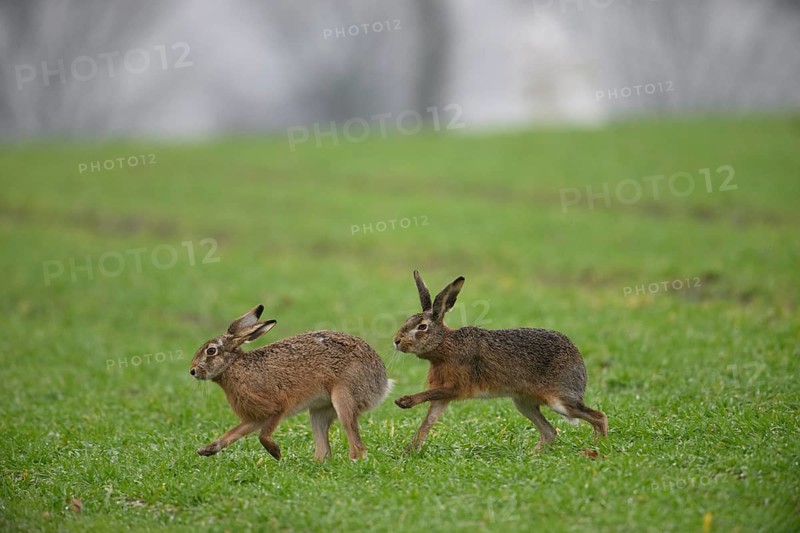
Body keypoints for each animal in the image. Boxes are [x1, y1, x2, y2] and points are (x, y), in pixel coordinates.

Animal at [190, 304, 391, 461]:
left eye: (211, 351)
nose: (192, 371)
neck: (234, 367)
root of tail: (381, 381)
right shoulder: (255, 417)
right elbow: (232, 434)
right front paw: (205, 450)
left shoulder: (277, 407)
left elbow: (263, 435)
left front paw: (276, 453)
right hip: (319, 412)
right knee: (324, 449)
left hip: (344, 398)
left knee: (357, 443)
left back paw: (353, 460)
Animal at [392, 271, 607, 452]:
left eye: (422, 327)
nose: (396, 341)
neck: (445, 345)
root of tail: (578, 357)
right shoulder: (443, 395)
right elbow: (428, 421)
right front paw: (410, 451)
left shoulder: (454, 387)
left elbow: (429, 398)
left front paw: (404, 401)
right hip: (523, 403)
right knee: (550, 432)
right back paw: (532, 455)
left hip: (560, 401)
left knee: (599, 418)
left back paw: (597, 447)